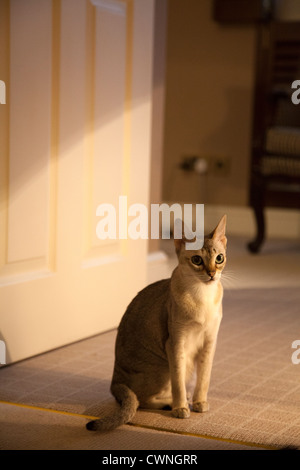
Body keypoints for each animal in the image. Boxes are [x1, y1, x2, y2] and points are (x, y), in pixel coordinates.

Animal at [86, 215, 227, 432]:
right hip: (163, 365)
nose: (212, 274)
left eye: (219, 258)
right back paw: (171, 403)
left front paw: (200, 403)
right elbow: (178, 384)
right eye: (197, 260)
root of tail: (115, 381)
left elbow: (204, 378)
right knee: (140, 400)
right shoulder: (176, 344)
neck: (202, 297)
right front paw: (180, 408)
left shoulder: (210, 342)